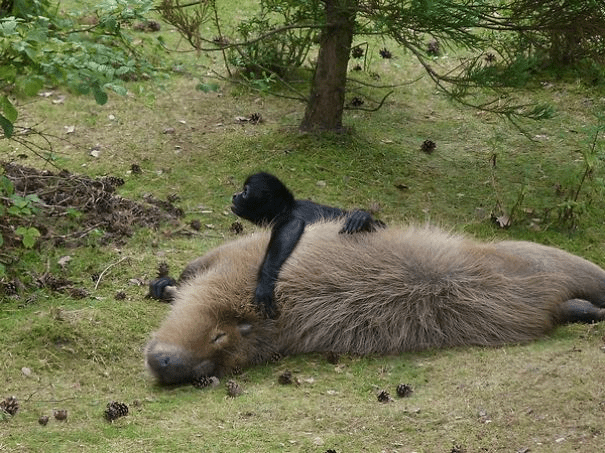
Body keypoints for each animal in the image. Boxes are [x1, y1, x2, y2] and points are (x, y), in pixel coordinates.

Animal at [231, 171, 382, 316]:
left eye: (245, 192)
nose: (235, 195)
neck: (289, 207)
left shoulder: (287, 218)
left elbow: (293, 226)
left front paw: (265, 282)